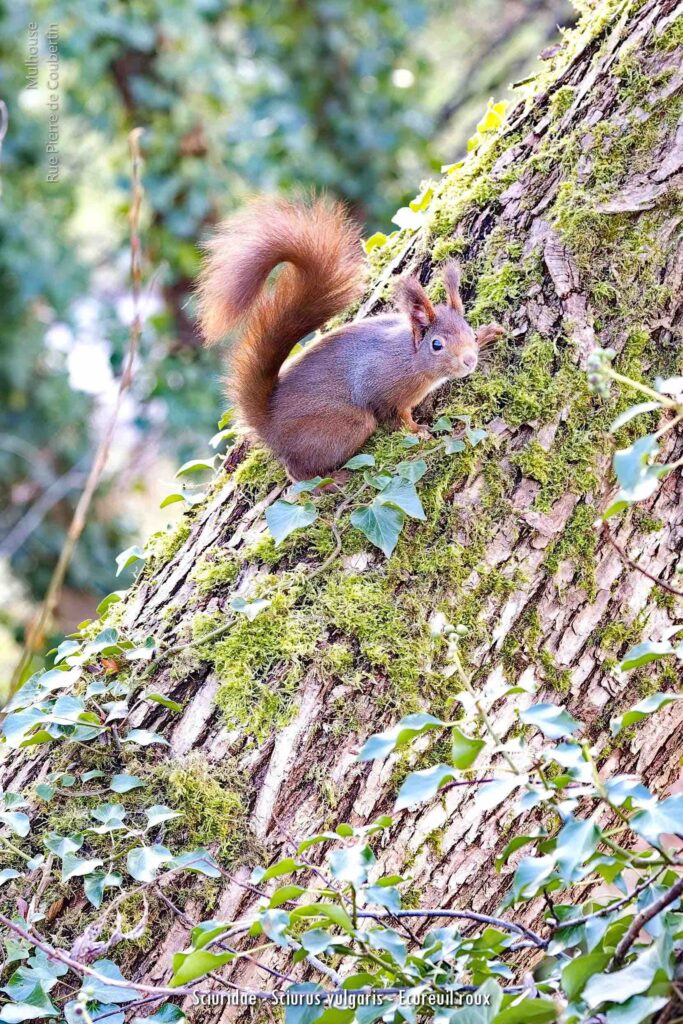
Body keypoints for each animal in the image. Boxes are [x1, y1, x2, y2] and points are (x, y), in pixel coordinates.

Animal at [197, 197, 501, 481]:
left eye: (469, 332)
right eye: (437, 345)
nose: (469, 361)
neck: (411, 358)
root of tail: (269, 425)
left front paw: (489, 333)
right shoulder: (381, 386)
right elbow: (396, 416)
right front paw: (419, 432)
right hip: (346, 424)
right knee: (296, 472)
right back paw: (329, 481)